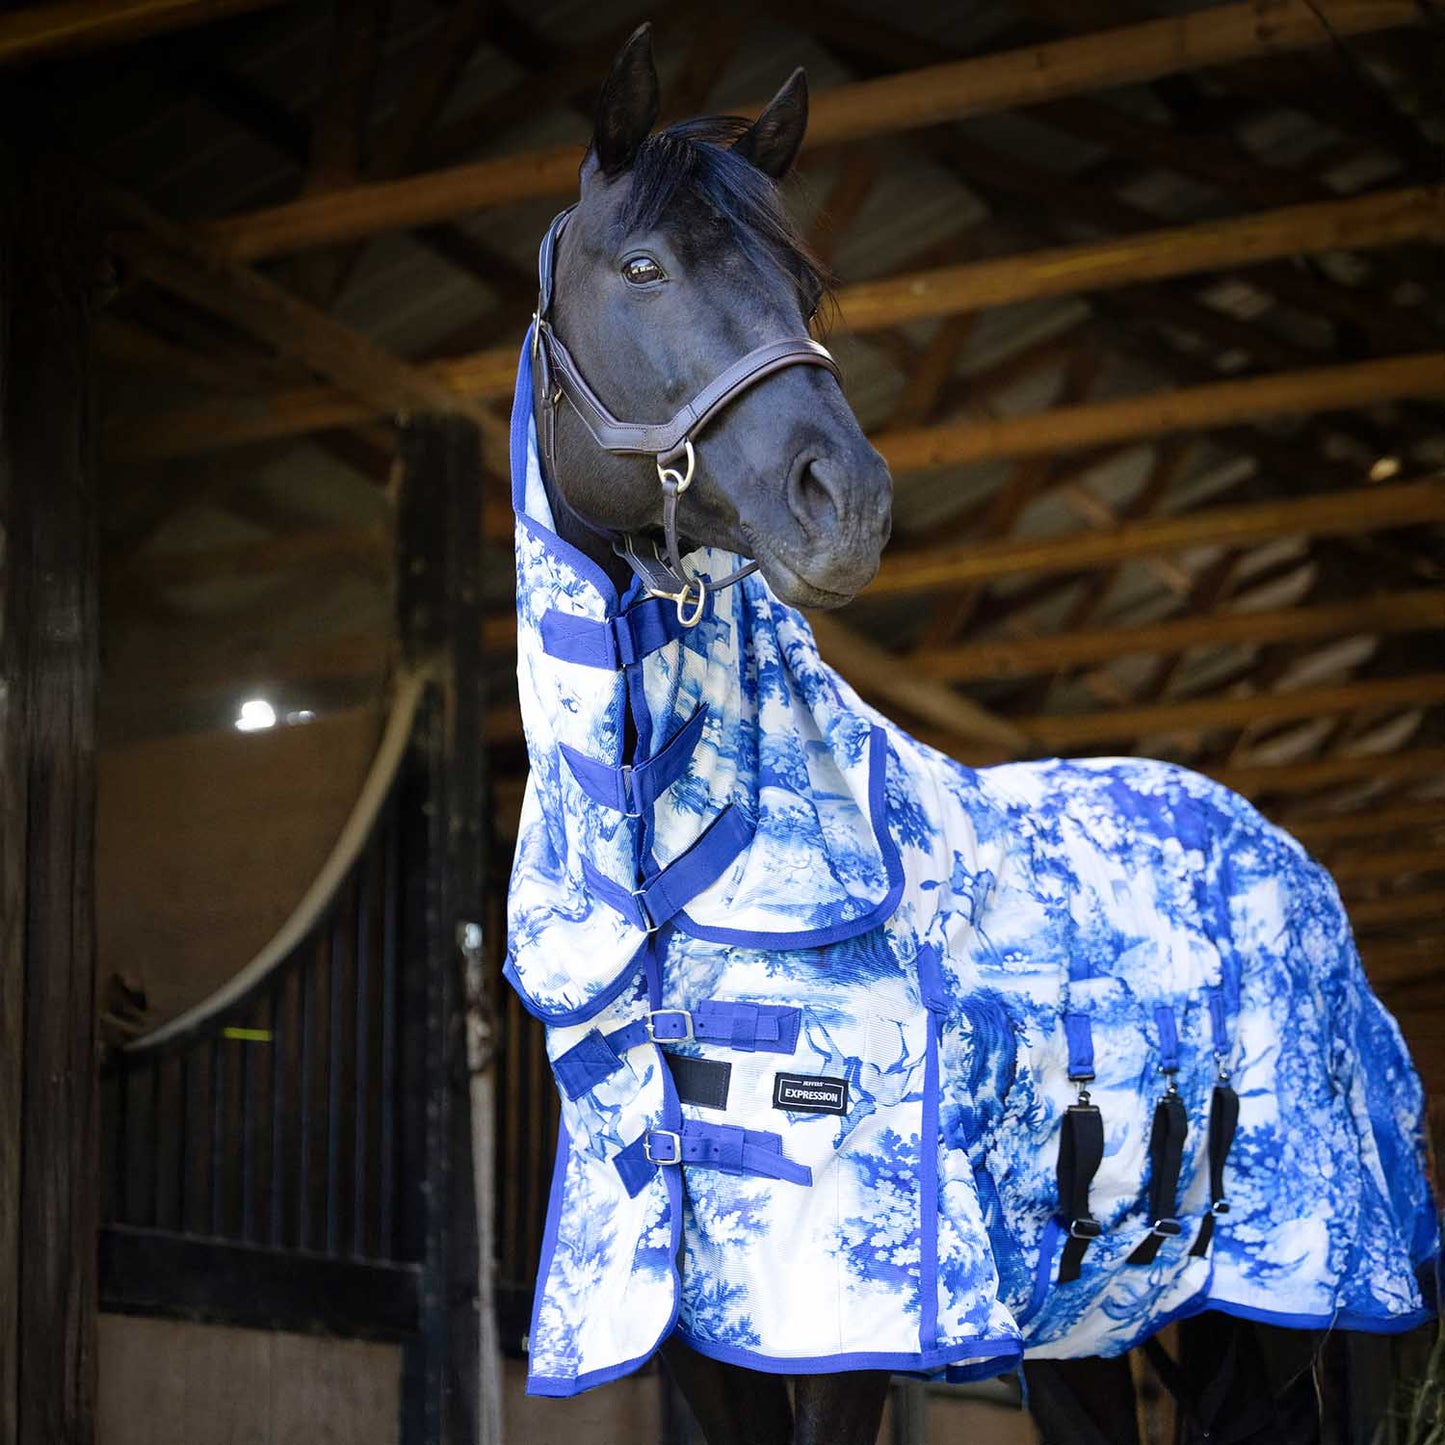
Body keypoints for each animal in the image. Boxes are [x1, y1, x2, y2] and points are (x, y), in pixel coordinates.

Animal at [502, 27, 1438, 1444]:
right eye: (643, 267)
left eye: (803, 285)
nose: (847, 500)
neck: (675, 881)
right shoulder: (687, 1331)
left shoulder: (837, 1325)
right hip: (1095, 1336)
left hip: (1297, 1312)